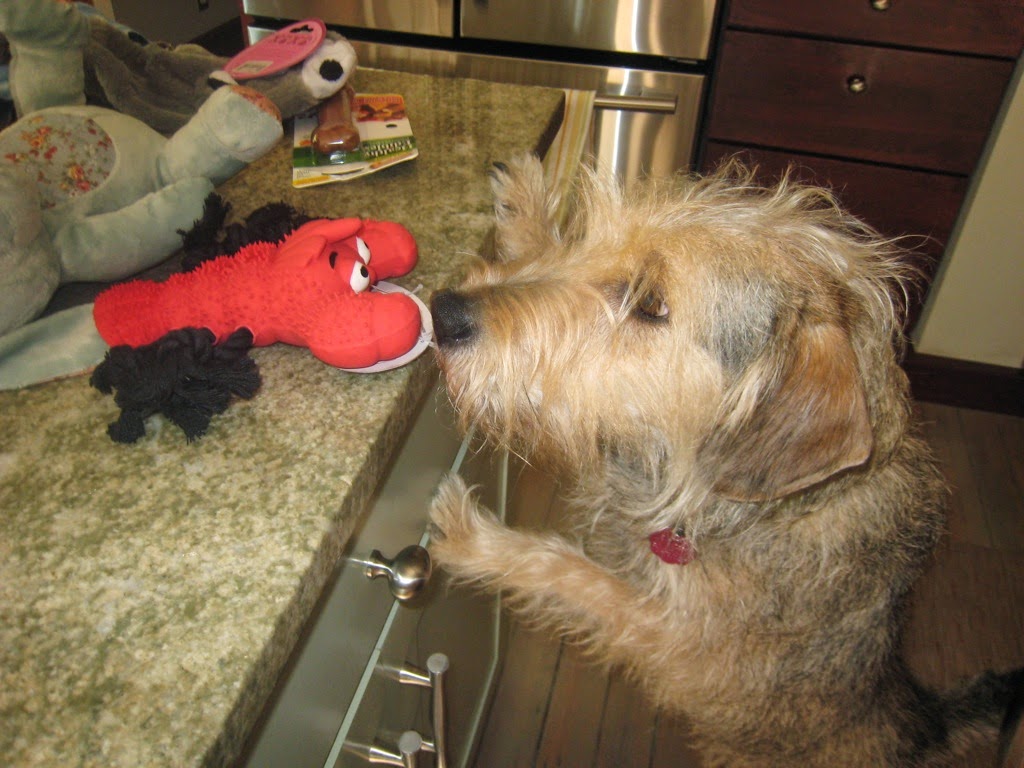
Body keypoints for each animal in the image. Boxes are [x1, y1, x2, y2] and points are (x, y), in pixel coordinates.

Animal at [426, 155, 1023, 767]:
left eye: (651, 303)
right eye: (588, 236)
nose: (443, 313)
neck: (755, 511)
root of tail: (913, 724)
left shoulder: (680, 647)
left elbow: (576, 575)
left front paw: (472, 537)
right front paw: (525, 204)